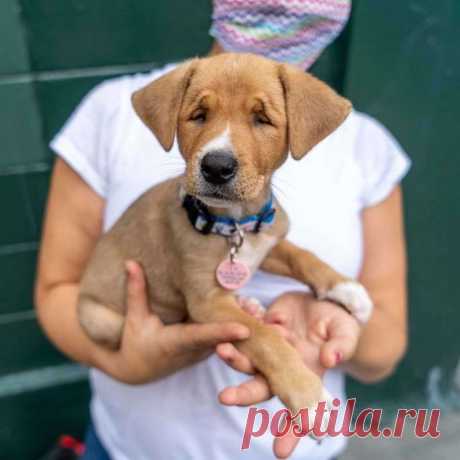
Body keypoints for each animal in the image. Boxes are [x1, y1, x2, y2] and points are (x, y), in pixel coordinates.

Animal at [78, 52, 374, 418]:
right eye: (198, 115)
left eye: (262, 119)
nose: (216, 166)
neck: (235, 225)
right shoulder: (207, 301)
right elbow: (266, 338)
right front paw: (307, 393)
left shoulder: (266, 243)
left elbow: (300, 255)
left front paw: (345, 288)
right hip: (99, 319)